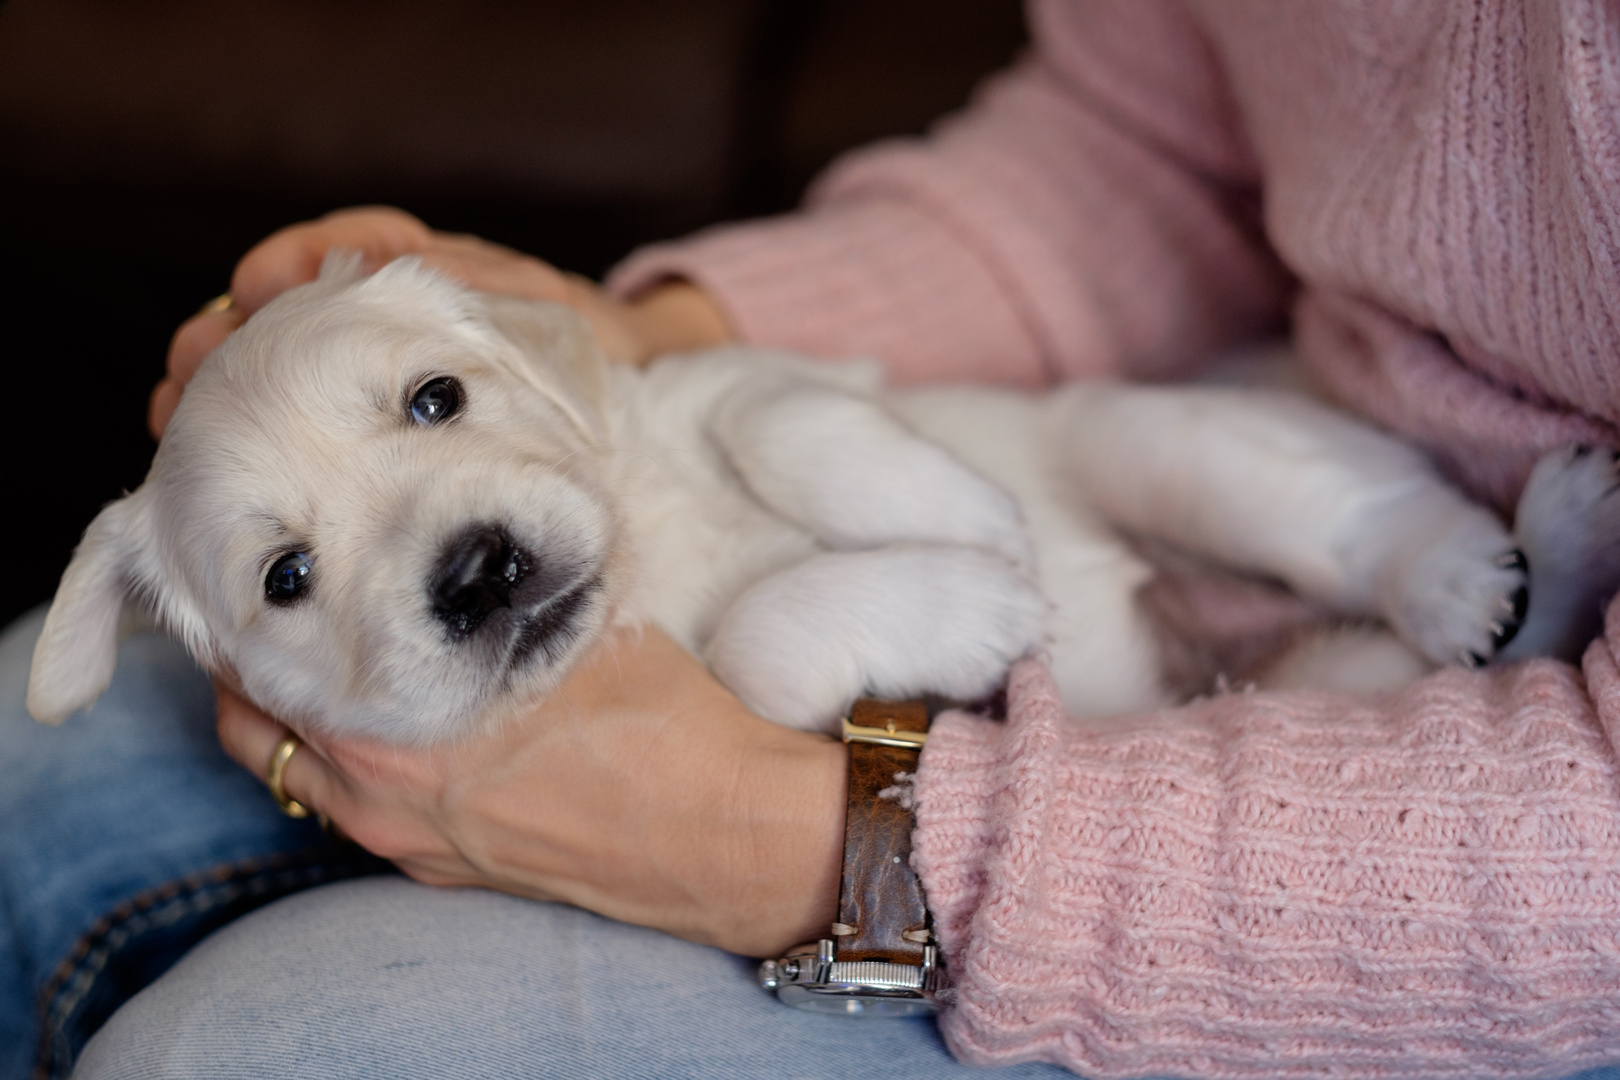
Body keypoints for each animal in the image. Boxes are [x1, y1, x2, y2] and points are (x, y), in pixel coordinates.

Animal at [25, 259, 1620, 744]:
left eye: (435, 400)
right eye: (285, 578)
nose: (477, 573)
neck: (654, 557)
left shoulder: (729, 381)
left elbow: (778, 413)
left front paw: (962, 514)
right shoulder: (750, 683)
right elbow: (757, 645)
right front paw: (975, 599)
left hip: (1155, 439)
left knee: (1369, 521)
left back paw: (1484, 564)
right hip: (1306, 686)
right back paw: (1547, 555)